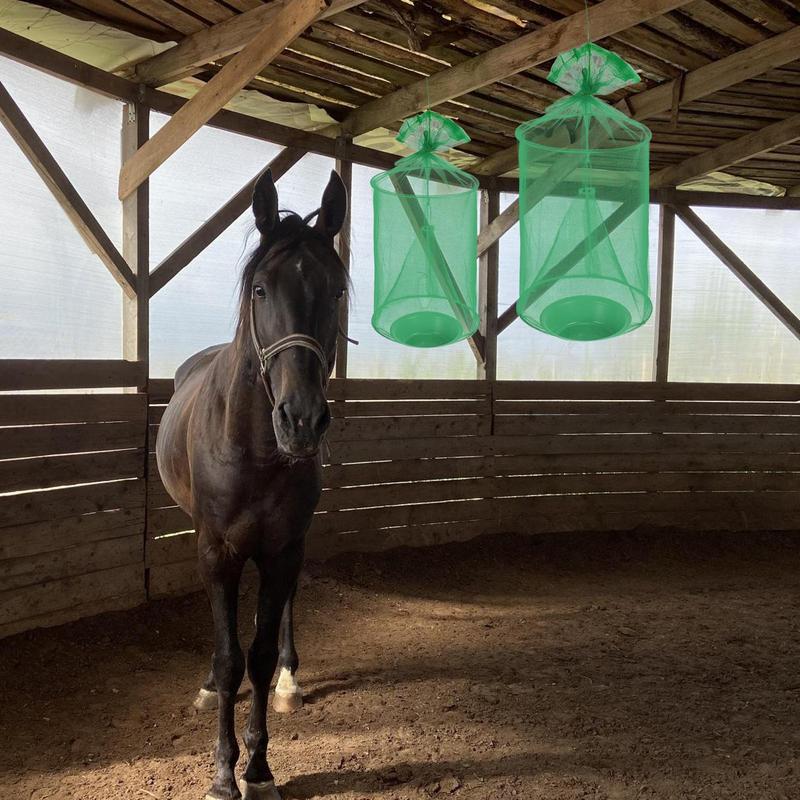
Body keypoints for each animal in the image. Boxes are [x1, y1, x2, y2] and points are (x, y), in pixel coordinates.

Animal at [156, 168, 348, 800]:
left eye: (336, 291)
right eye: (260, 289)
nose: (301, 420)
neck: (256, 450)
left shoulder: (283, 548)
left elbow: (258, 655)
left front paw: (259, 768)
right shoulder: (217, 550)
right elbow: (228, 656)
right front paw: (222, 772)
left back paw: (290, 679)